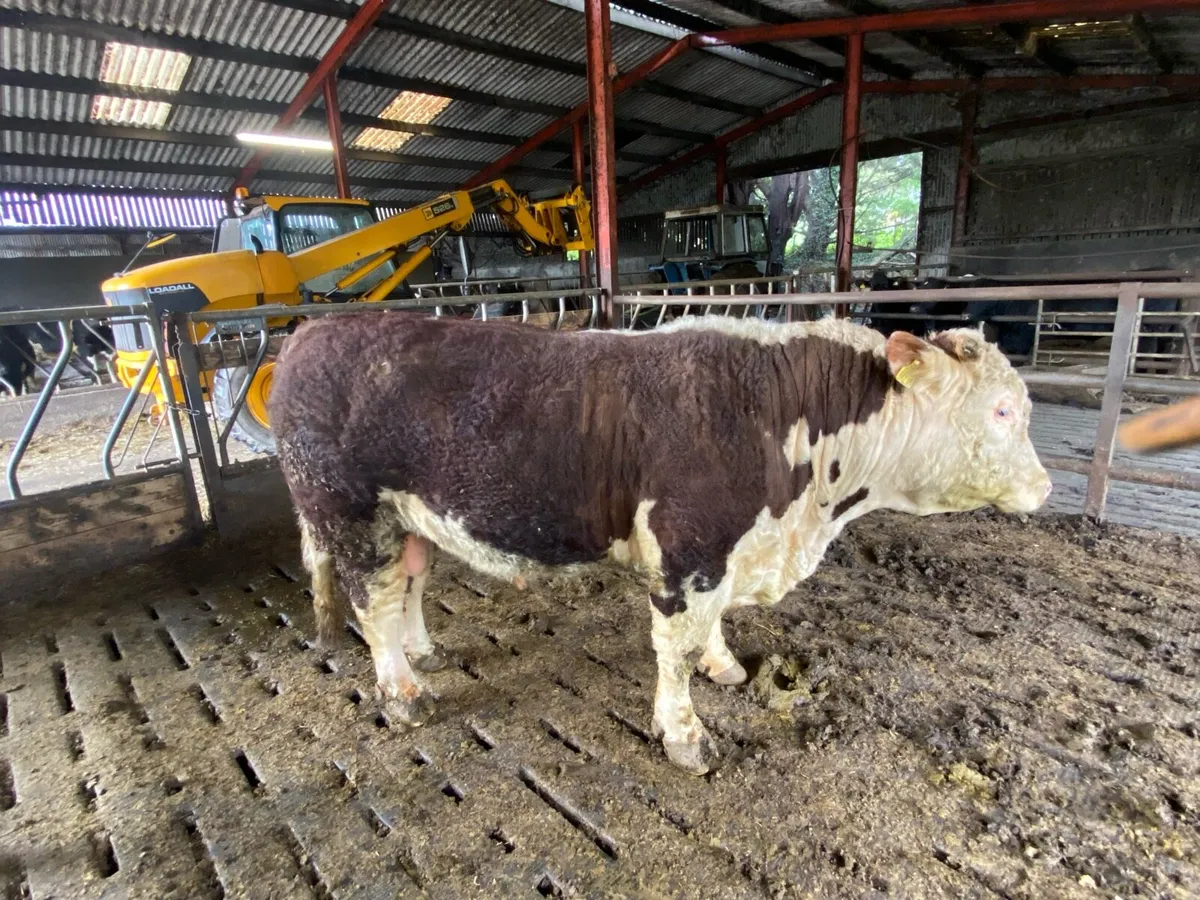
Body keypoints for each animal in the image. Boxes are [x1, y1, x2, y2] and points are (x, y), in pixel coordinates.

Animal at [269, 312, 1051, 775]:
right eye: (1001, 410)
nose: (1044, 487)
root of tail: (312, 329)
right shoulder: (690, 551)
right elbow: (673, 650)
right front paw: (685, 734)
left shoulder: (728, 553)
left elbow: (713, 629)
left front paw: (724, 664)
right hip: (348, 511)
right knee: (373, 602)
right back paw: (404, 691)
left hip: (409, 515)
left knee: (410, 579)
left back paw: (422, 650)